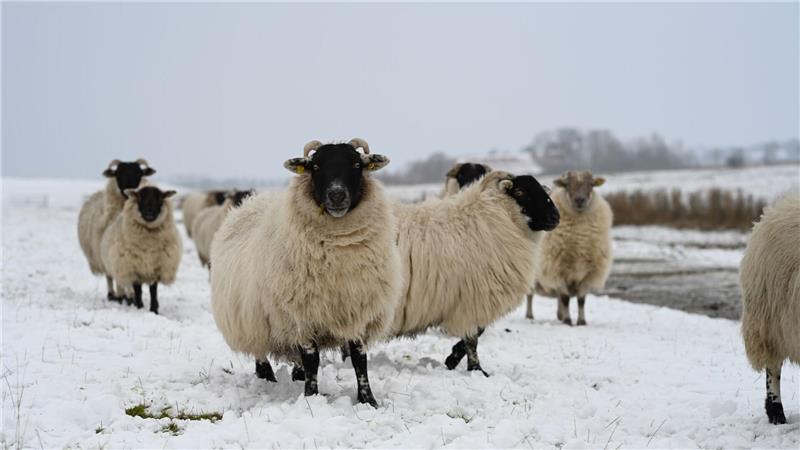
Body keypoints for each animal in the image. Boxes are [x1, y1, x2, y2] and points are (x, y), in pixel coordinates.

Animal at [77, 158, 156, 301]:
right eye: (118, 174)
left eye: (139, 173)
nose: (128, 190)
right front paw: (126, 296)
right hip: (103, 255)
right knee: (110, 276)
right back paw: (114, 295)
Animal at [100, 186, 182, 314]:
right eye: (140, 198)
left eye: (160, 198)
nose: (149, 213)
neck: (148, 244)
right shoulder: (133, 267)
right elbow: (138, 290)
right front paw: (139, 306)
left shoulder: (156, 267)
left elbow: (153, 290)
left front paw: (154, 309)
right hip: (117, 264)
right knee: (118, 283)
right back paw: (122, 298)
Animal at [210, 139, 401, 407]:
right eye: (316, 166)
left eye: (356, 164)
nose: (337, 195)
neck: (340, 248)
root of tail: (249, 203)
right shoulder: (301, 315)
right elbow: (312, 360)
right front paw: (311, 398)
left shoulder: (358, 311)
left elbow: (359, 360)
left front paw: (368, 400)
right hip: (251, 318)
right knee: (260, 352)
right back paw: (267, 378)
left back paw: (295, 376)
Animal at [391, 170, 560, 375]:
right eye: (520, 192)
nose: (555, 217)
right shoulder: (474, 298)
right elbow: (474, 337)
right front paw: (475, 369)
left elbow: (476, 333)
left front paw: (453, 358)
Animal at [526, 170, 613, 325]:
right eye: (567, 185)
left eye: (591, 184)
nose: (580, 200)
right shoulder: (557, 269)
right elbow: (565, 298)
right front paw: (567, 320)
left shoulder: (588, 273)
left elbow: (581, 300)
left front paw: (581, 321)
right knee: (530, 295)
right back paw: (530, 315)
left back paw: (559, 315)